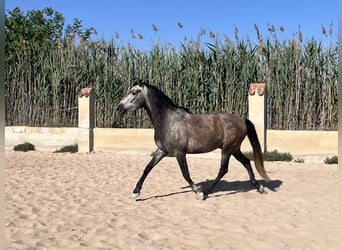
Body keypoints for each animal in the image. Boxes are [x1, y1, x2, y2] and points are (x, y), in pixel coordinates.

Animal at [117, 79, 270, 200]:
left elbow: (185, 173)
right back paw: (259, 187)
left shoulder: (179, 153)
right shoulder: (162, 151)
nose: (119, 108)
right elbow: (147, 168)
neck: (168, 120)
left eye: (134, 92)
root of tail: (242, 120)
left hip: (227, 149)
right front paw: (136, 192)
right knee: (246, 162)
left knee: (223, 169)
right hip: (234, 149)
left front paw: (198, 192)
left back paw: (207, 193)